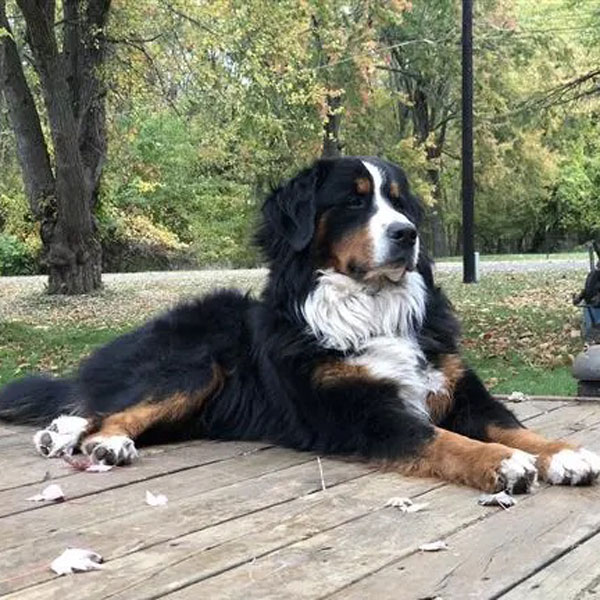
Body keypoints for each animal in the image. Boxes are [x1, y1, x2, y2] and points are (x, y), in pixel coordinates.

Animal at [1, 156, 600, 492]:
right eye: (354, 203)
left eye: (399, 202)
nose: (407, 234)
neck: (371, 307)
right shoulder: (360, 411)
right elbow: (445, 440)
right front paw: (504, 464)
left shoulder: (458, 387)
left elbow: (513, 425)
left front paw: (562, 453)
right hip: (195, 364)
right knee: (108, 409)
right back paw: (98, 443)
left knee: (95, 407)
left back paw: (67, 435)